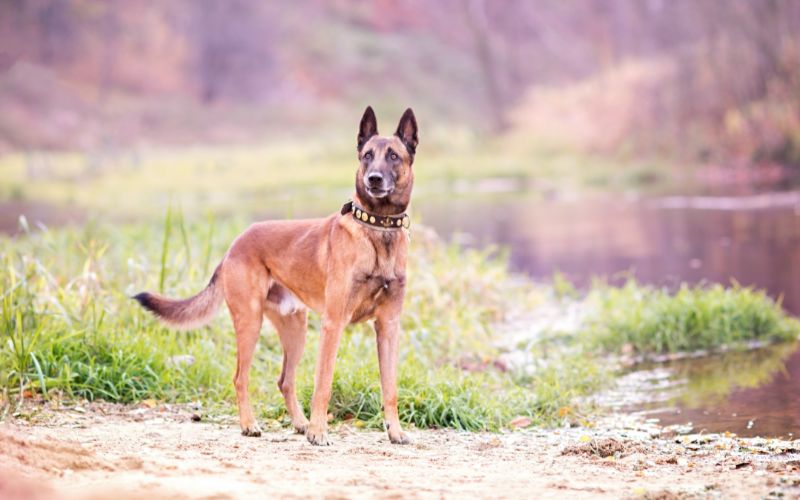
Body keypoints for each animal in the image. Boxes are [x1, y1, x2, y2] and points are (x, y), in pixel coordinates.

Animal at [133, 106, 418, 446]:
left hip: (296, 329)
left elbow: (390, 388)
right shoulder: (333, 324)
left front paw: (396, 431)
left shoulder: (388, 326)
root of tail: (234, 245)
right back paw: (251, 424)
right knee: (240, 377)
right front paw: (319, 432)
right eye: (367, 156)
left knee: (285, 380)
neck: (378, 228)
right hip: (250, 321)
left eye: (393, 156)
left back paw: (300, 423)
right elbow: (323, 384)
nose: (373, 179)